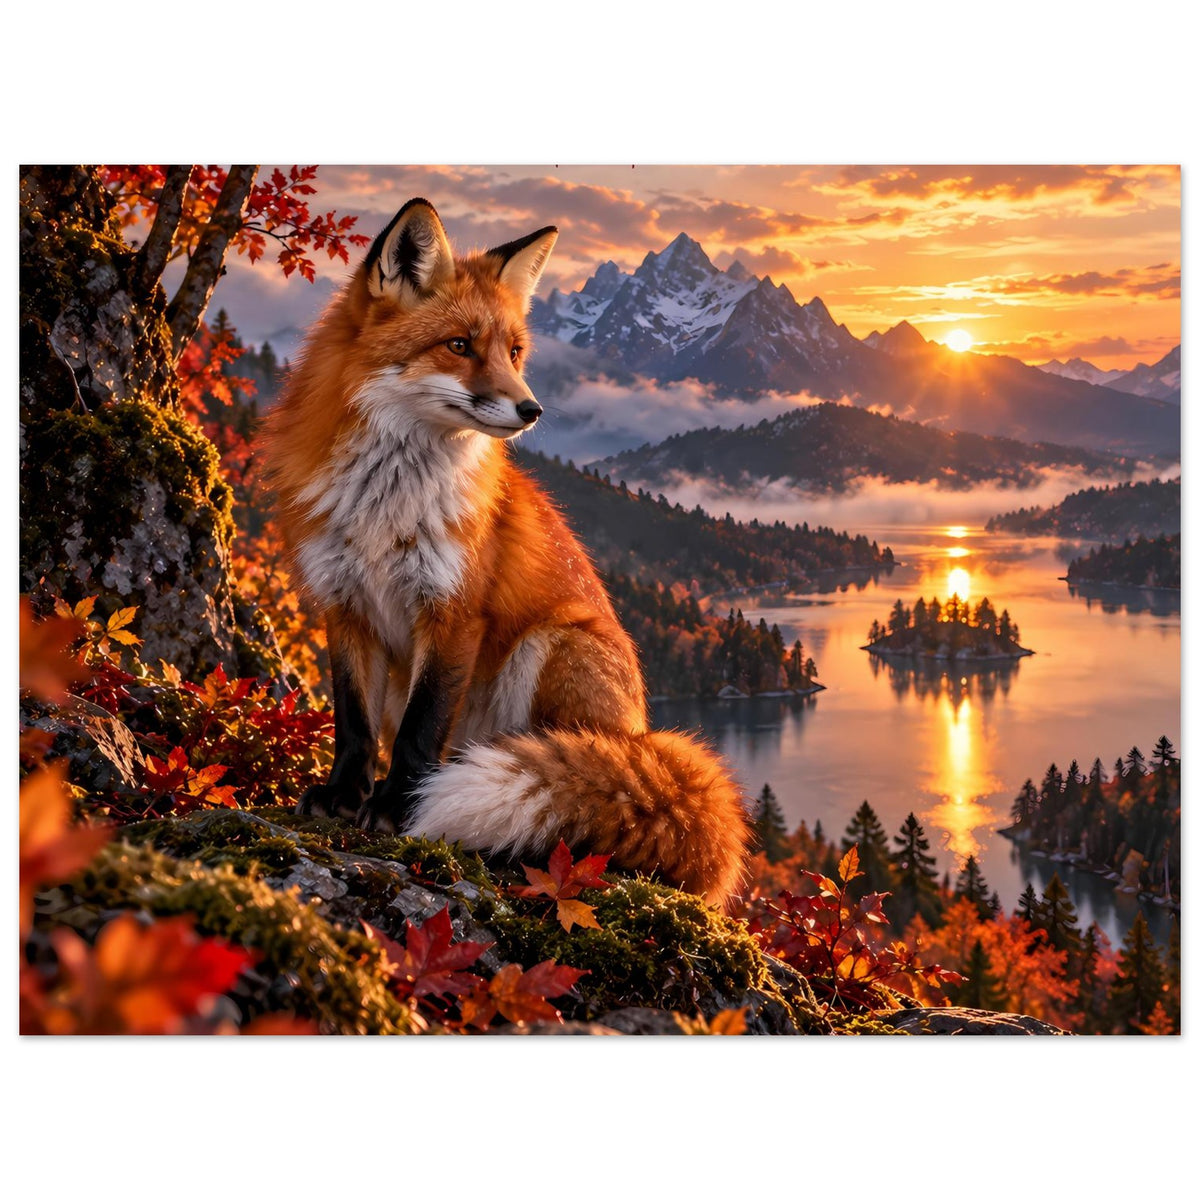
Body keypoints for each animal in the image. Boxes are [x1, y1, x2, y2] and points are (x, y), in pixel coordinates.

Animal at [264, 197, 749, 908]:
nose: (532, 409)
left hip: (550, 645)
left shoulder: (454, 611)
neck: (386, 506)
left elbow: (419, 731)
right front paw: (343, 797)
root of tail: (641, 734)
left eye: (515, 351)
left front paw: (398, 810)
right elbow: (353, 724)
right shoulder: (344, 603)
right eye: (460, 346)